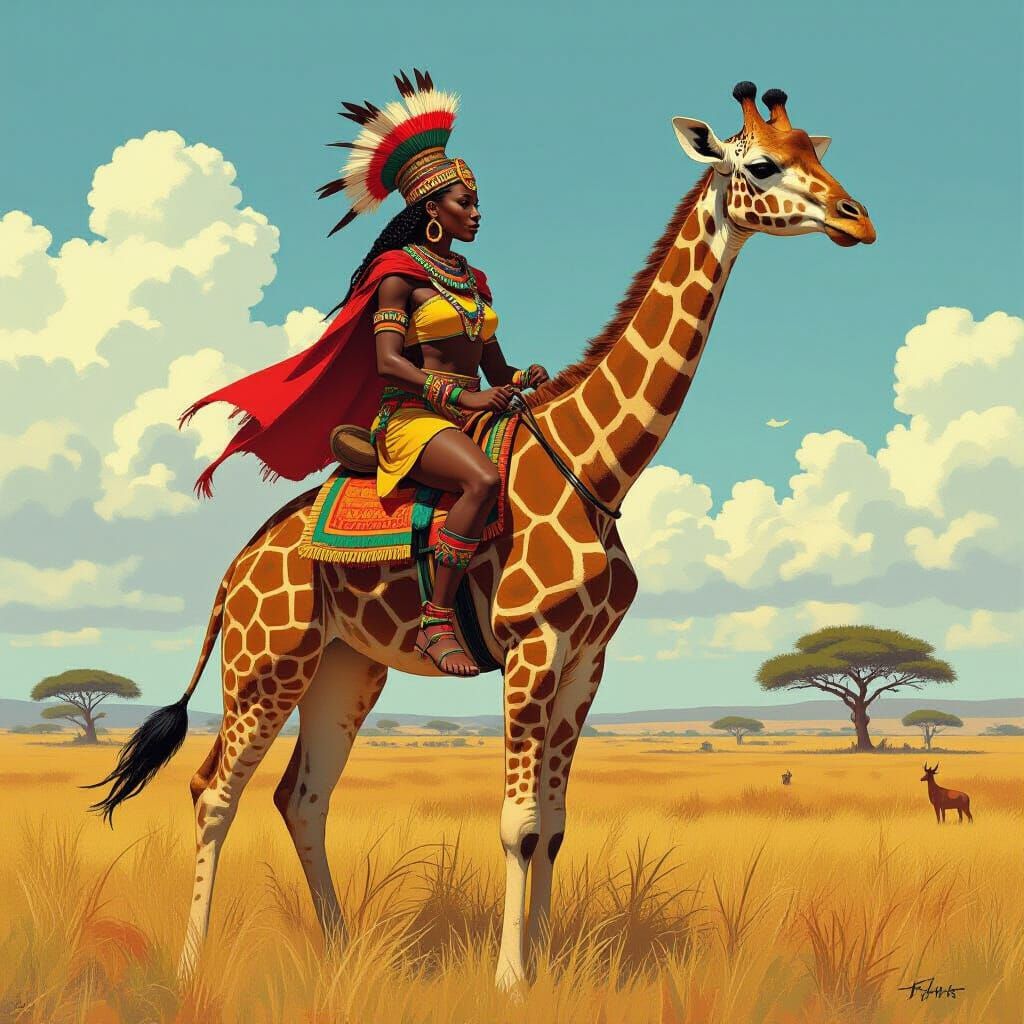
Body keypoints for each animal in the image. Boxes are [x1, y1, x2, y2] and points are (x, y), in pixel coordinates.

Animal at [90, 82, 874, 990]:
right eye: (761, 165)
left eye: (817, 152)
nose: (857, 219)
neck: (600, 467)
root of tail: (234, 568)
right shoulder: (530, 645)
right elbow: (517, 823)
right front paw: (509, 978)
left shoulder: (587, 659)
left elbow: (556, 823)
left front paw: (551, 964)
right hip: (265, 662)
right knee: (213, 791)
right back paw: (191, 967)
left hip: (346, 667)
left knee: (302, 797)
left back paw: (341, 949)